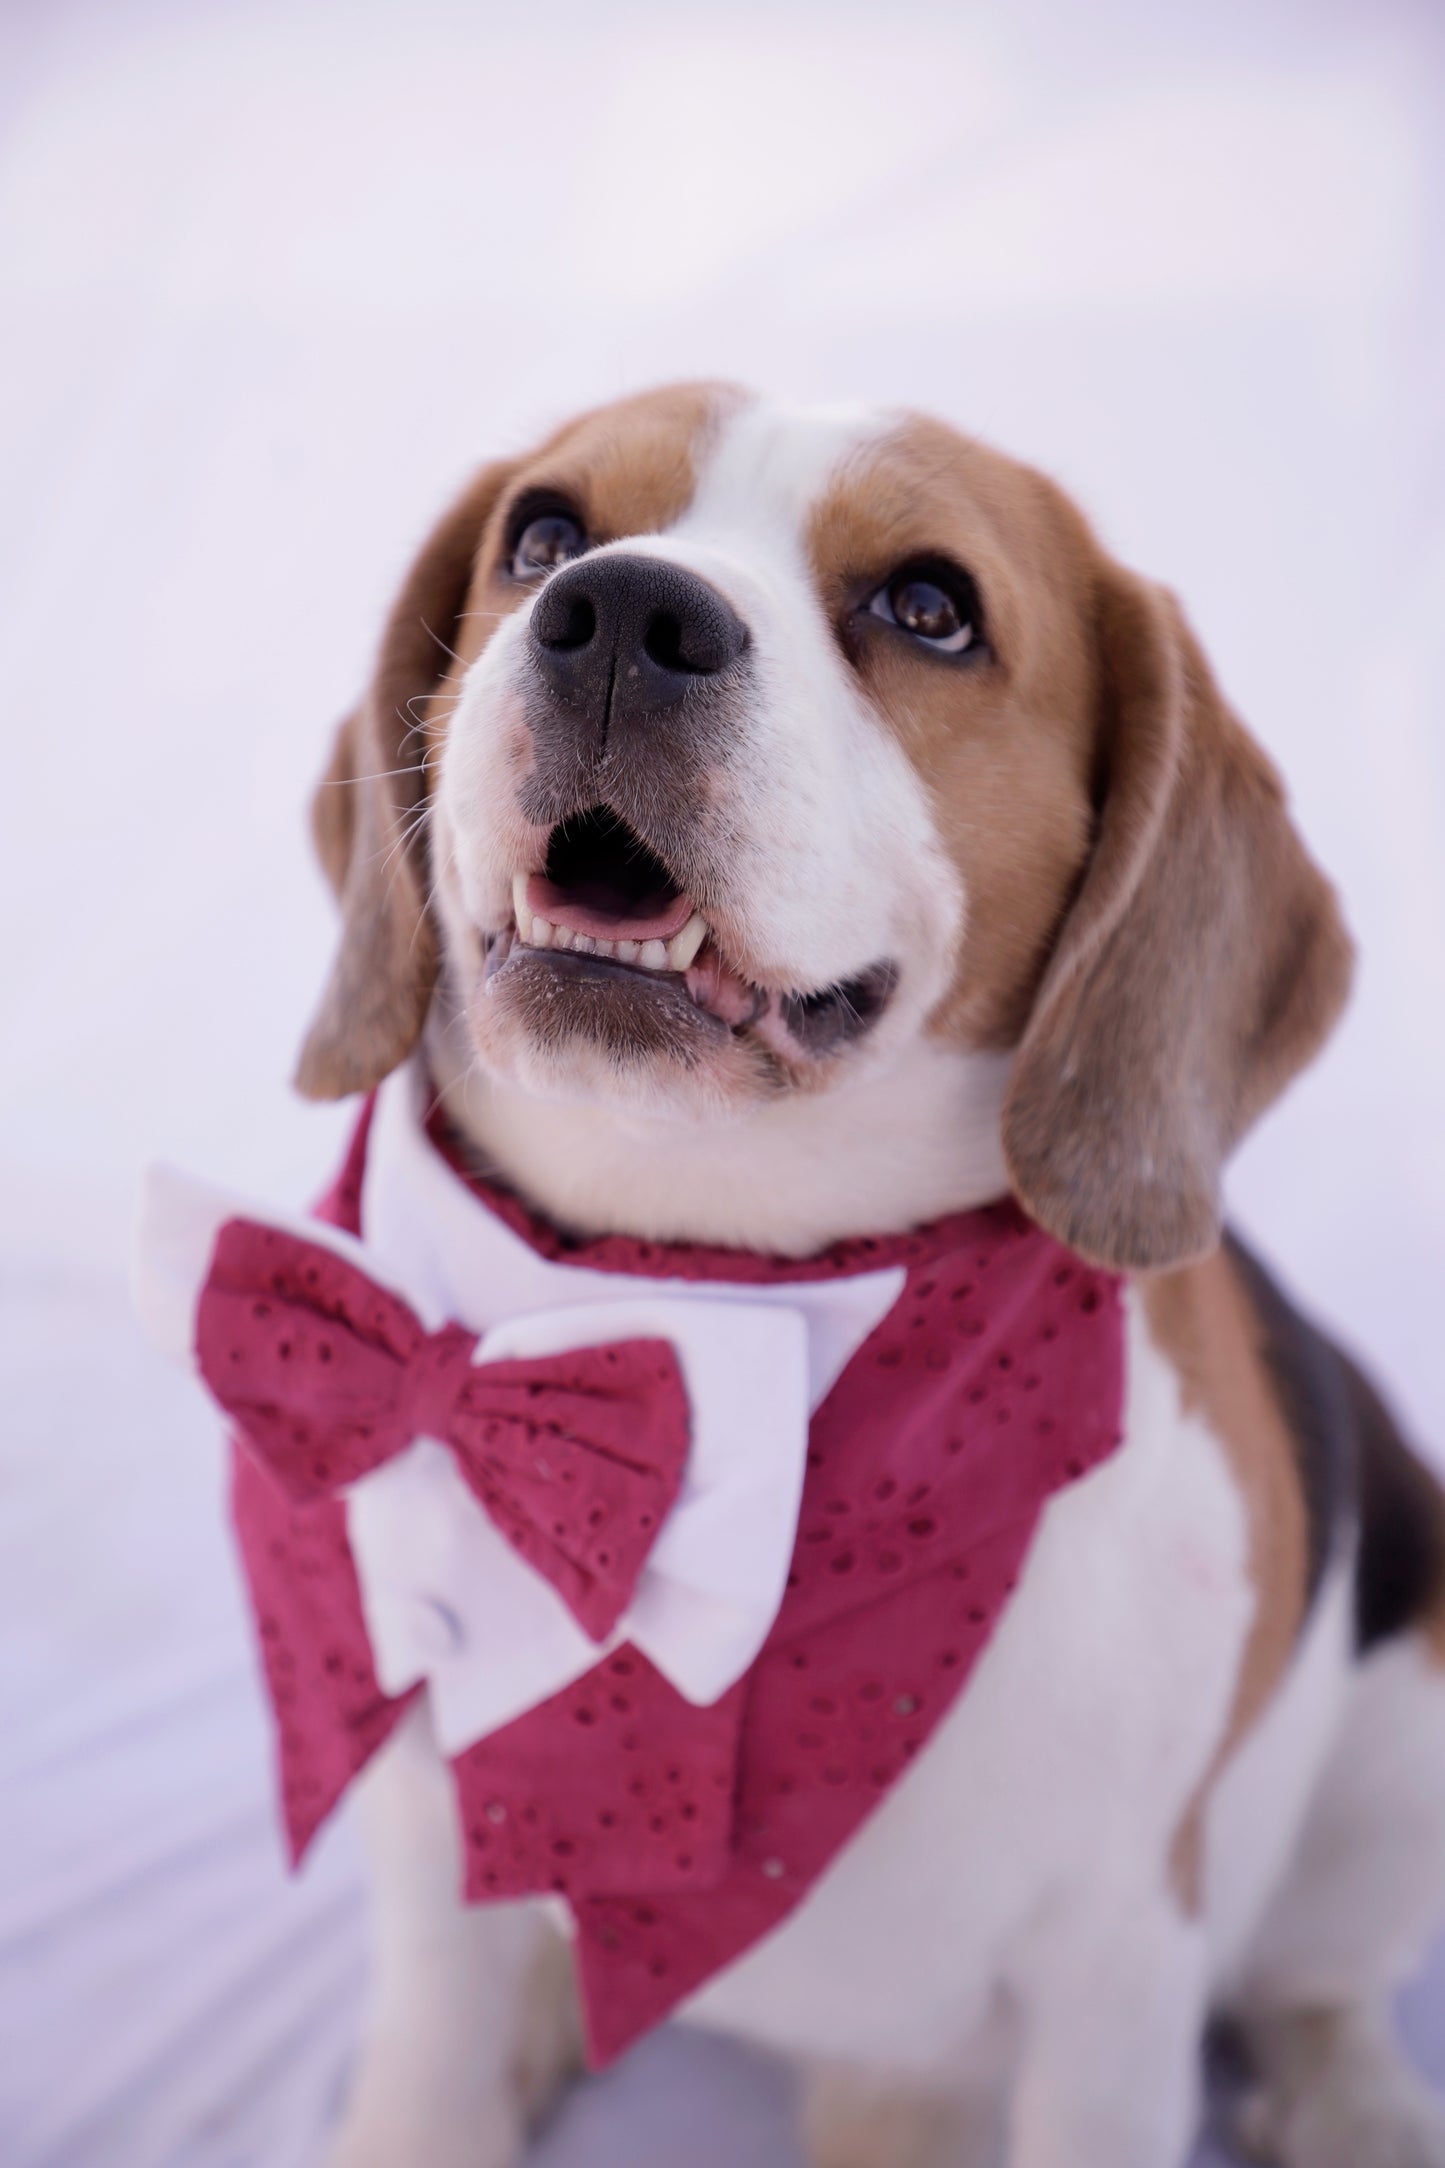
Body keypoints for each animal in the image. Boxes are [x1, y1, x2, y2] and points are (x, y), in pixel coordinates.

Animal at [296, 390, 1445, 2168]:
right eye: (541, 536)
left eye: (929, 606)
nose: (620, 613)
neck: (705, 1308)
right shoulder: (425, 1861)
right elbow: (428, 2077)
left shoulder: (1121, 1974)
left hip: (1402, 1760)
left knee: (1322, 1980)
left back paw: (1356, 2101)